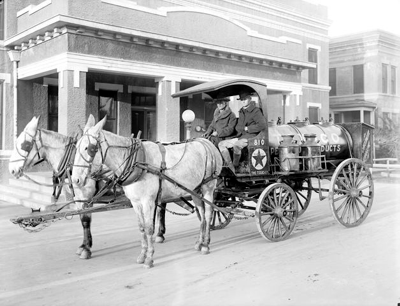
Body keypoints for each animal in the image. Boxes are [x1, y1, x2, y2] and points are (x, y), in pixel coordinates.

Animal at [72, 116, 222, 268]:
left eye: (89, 148)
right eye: (76, 147)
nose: (75, 180)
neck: (136, 162)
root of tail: (206, 142)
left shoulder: (148, 201)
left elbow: (149, 227)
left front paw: (149, 258)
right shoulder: (135, 202)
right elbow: (141, 227)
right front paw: (142, 255)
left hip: (208, 187)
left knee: (208, 214)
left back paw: (206, 244)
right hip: (195, 190)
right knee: (202, 215)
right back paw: (199, 242)